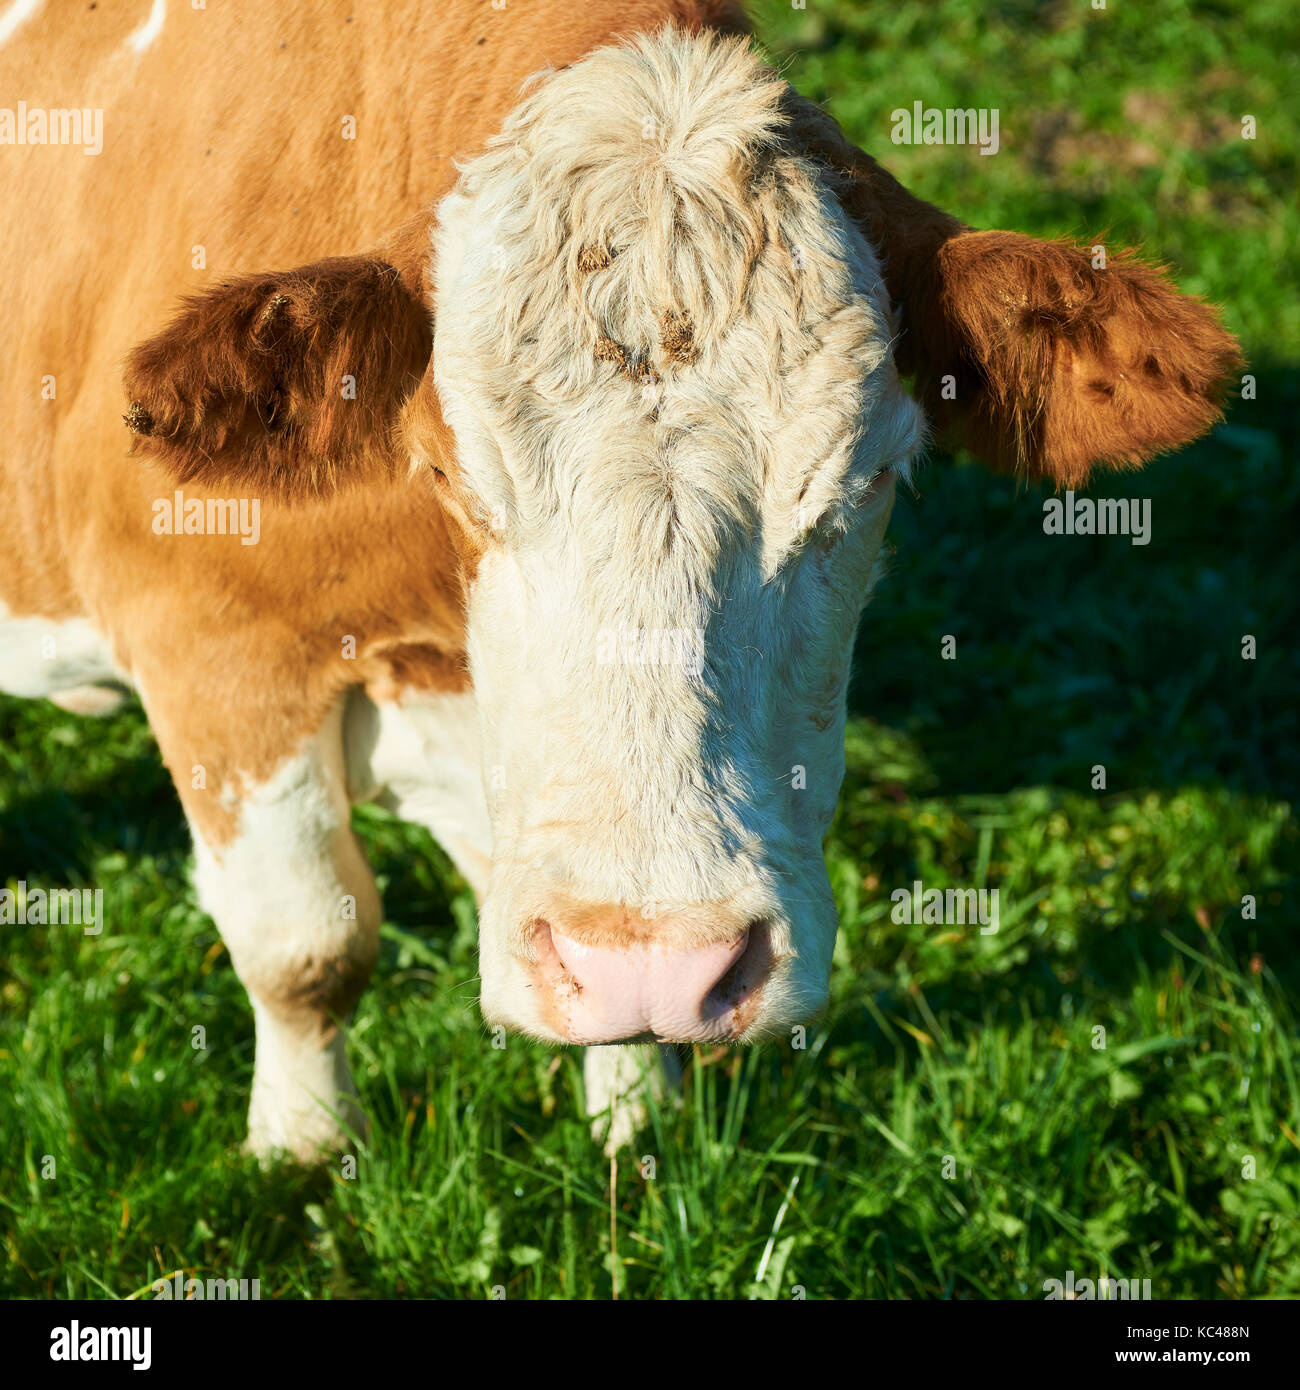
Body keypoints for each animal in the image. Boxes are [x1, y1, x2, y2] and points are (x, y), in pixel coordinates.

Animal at [0, 0, 1239, 1161]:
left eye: (868, 480)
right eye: (449, 474)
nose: (665, 967)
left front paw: (638, 1129)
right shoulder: (210, 645)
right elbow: (306, 943)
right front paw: (302, 1150)